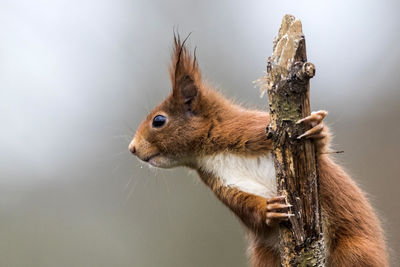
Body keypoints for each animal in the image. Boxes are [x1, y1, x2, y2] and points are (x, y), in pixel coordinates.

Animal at [130, 36, 390, 267]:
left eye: (159, 120)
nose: (132, 148)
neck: (212, 151)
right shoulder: (220, 181)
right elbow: (244, 206)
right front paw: (269, 210)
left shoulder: (258, 128)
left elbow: (319, 154)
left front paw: (316, 131)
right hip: (266, 256)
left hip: (354, 251)